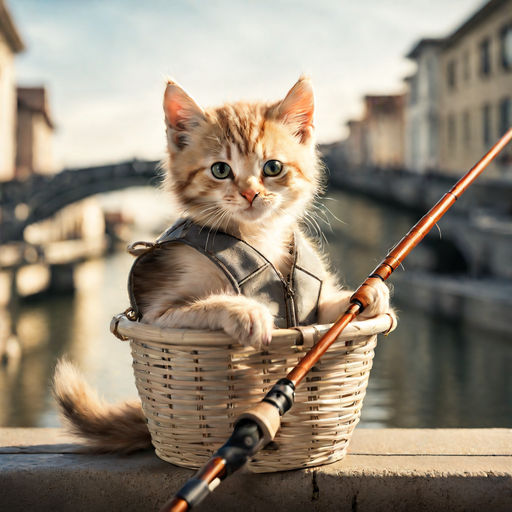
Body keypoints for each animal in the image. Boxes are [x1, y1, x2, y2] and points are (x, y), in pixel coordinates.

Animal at [53, 77, 396, 452]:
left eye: (273, 167)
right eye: (220, 170)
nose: (250, 193)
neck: (255, 235)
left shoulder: (312, 310)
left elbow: (329, 314)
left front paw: (369, 294)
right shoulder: (156, 316)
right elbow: (198, 307)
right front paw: (246, 312)